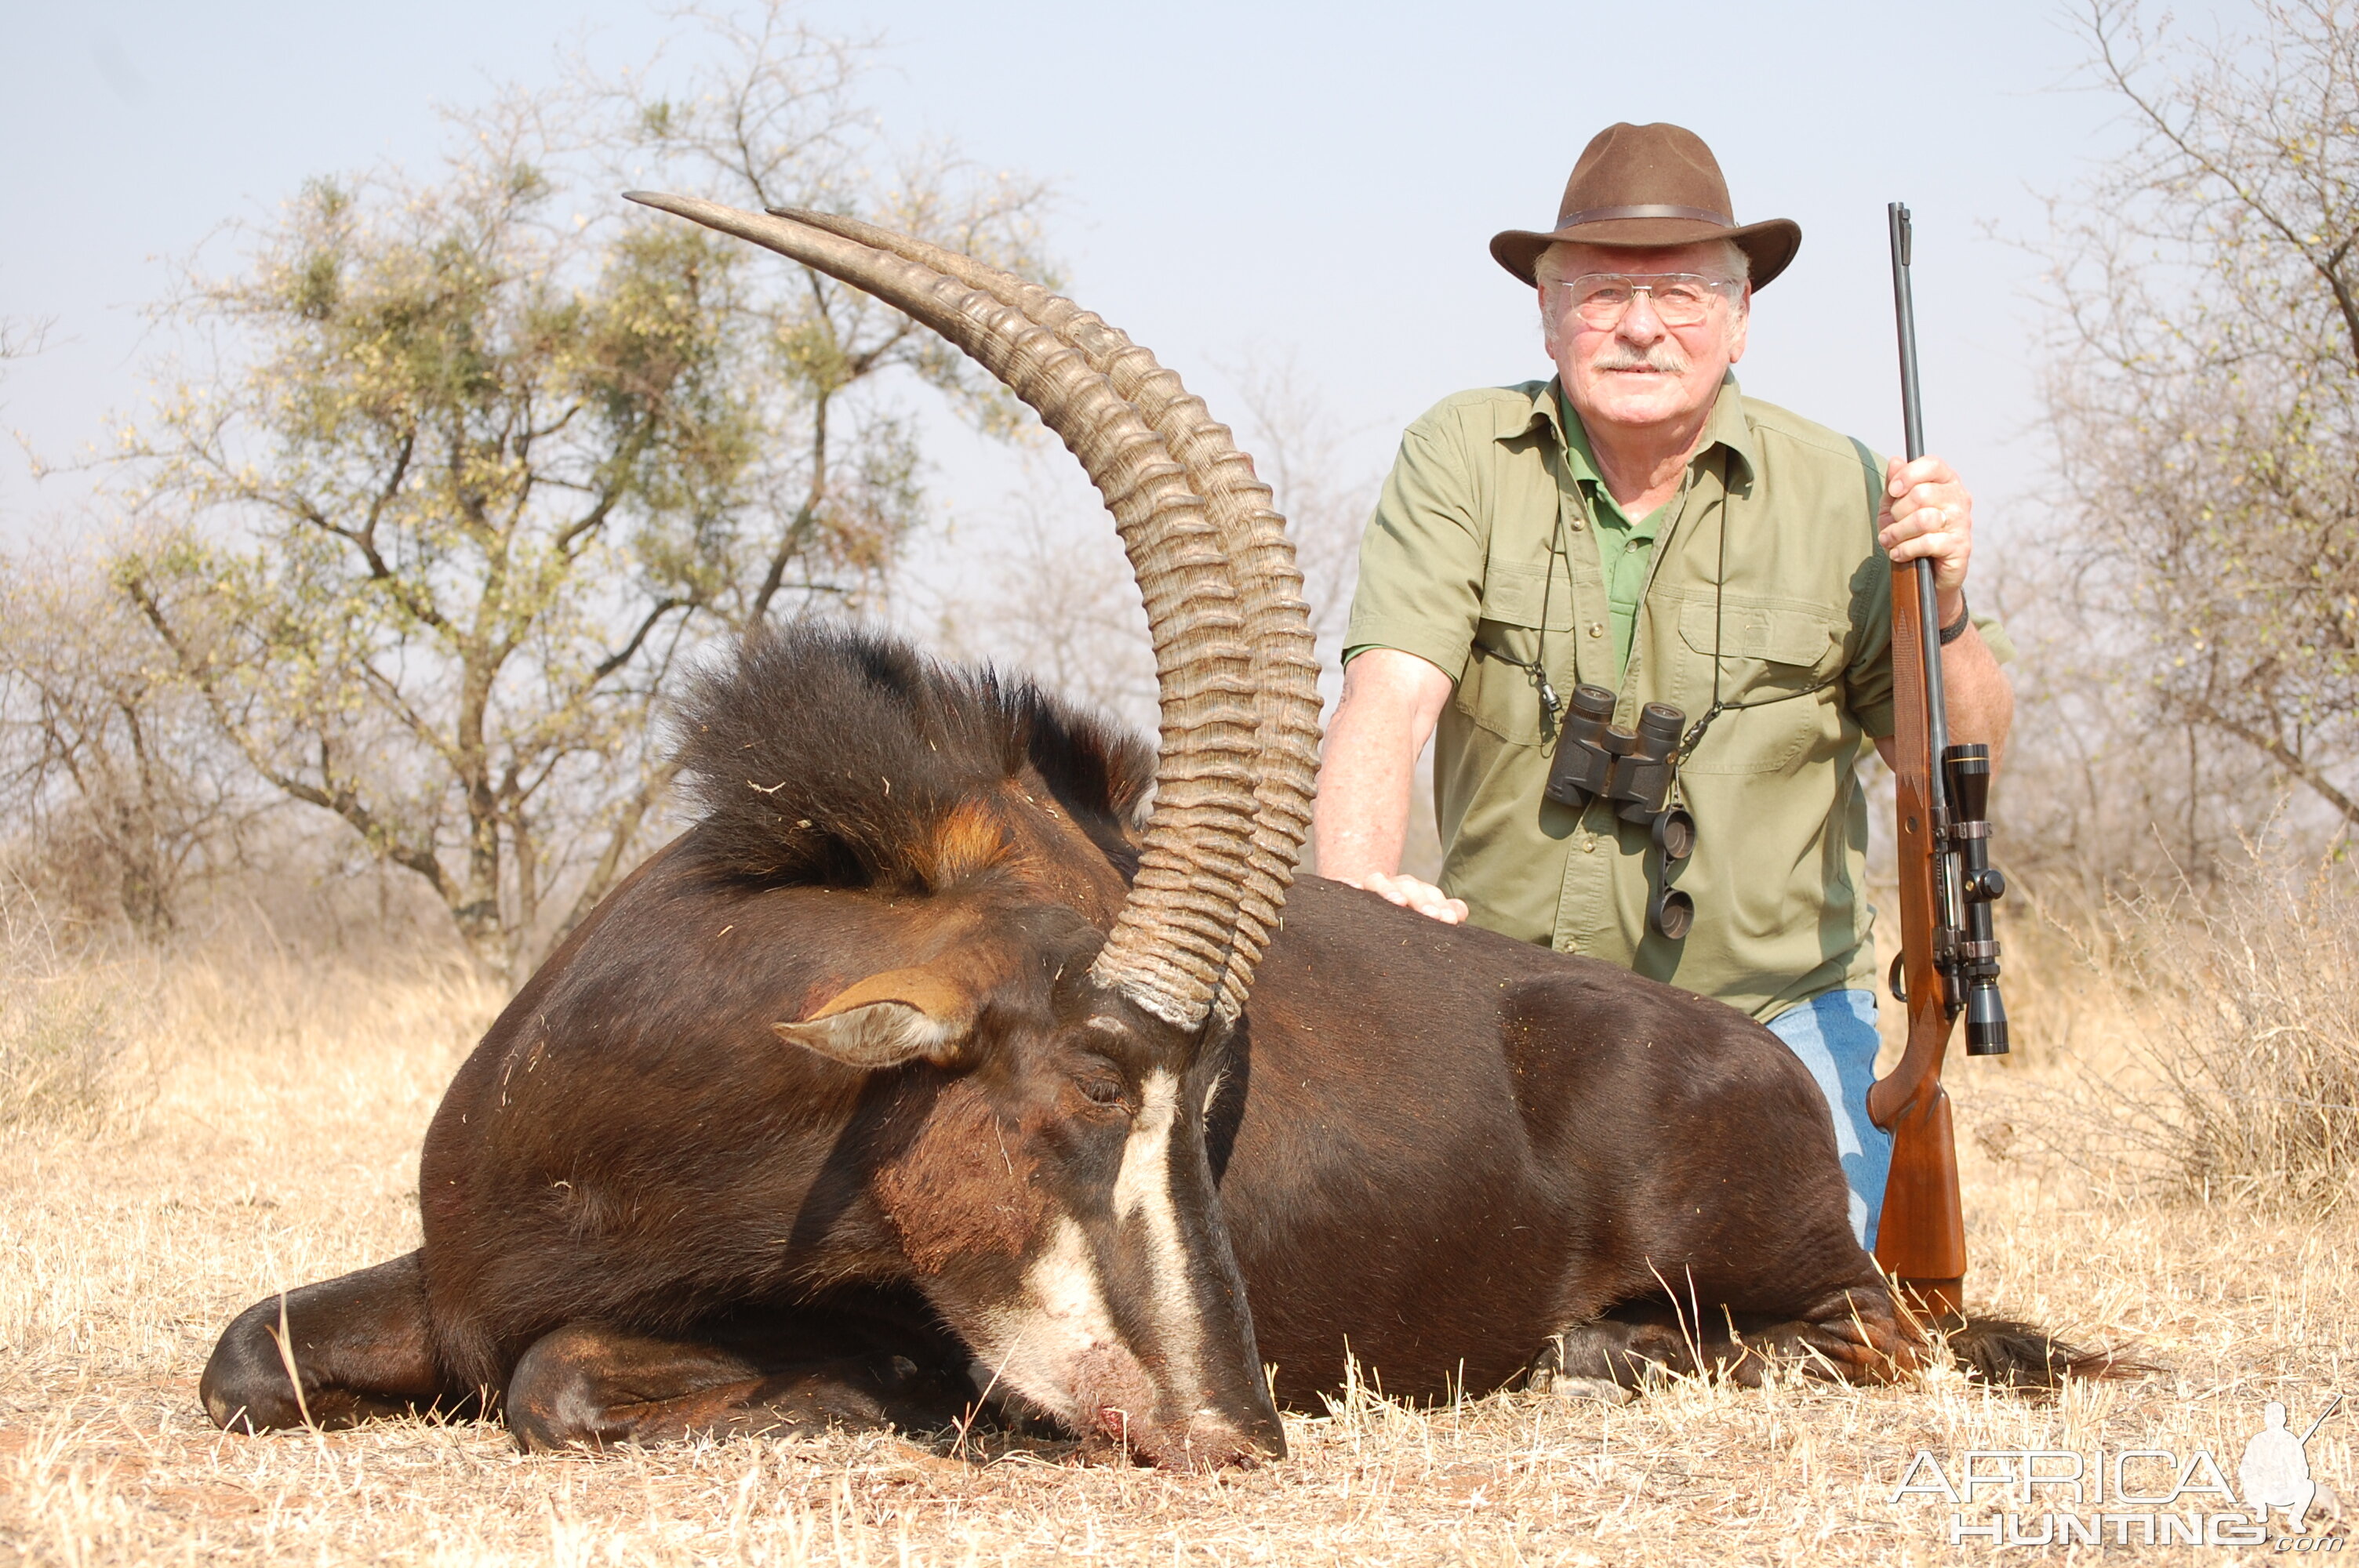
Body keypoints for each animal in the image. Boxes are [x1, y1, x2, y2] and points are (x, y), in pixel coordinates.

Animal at [198, 199, 2085, 1471]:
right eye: (1100, 1081)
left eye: (1220, 1105)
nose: (1237, 1428)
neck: (617, 1139)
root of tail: (1755, 1056)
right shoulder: (428, 1285)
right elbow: (249, 1355)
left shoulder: (878, 1335)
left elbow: (562, 1378)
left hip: (1806, 1283)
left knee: (1876, 1336)